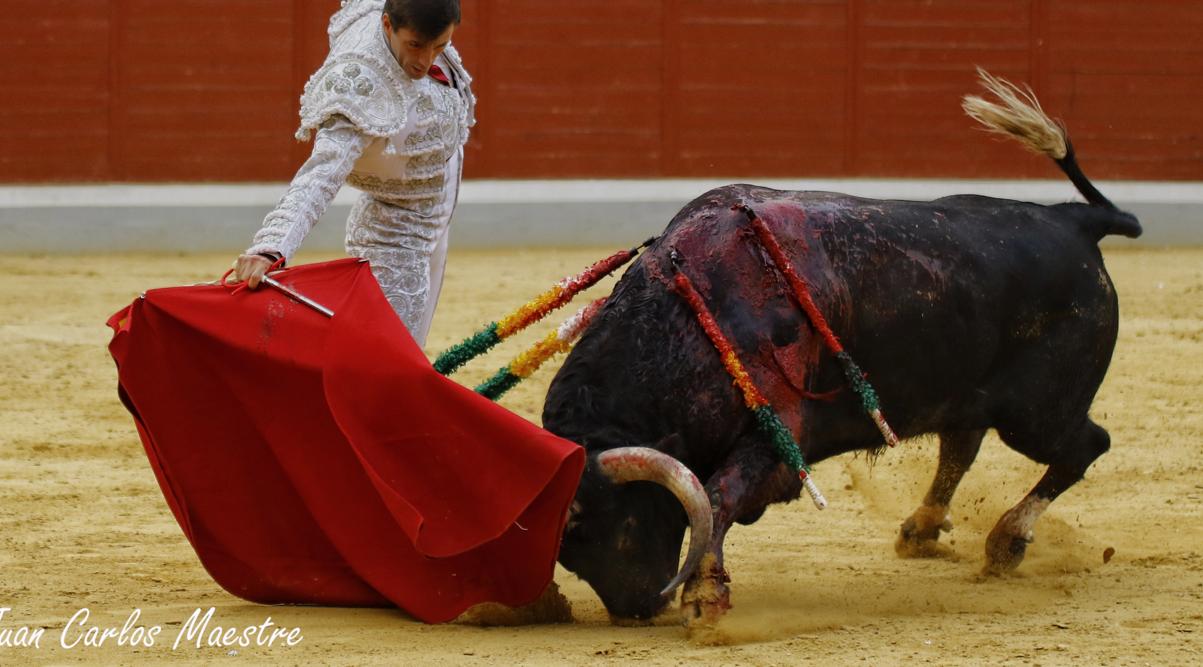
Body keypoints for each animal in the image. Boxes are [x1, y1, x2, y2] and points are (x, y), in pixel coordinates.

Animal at [541, 179, 1140, 621]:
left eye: (589, 525)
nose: (637, 607)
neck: (693, 315)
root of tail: (1072, 222)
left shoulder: (778, 436)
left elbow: (717, 495)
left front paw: (706, 597)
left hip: (1037, 415)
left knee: (1085, 446)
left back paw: (1007, 542)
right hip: (969, 394)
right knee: (962, 445)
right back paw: (922, 528)